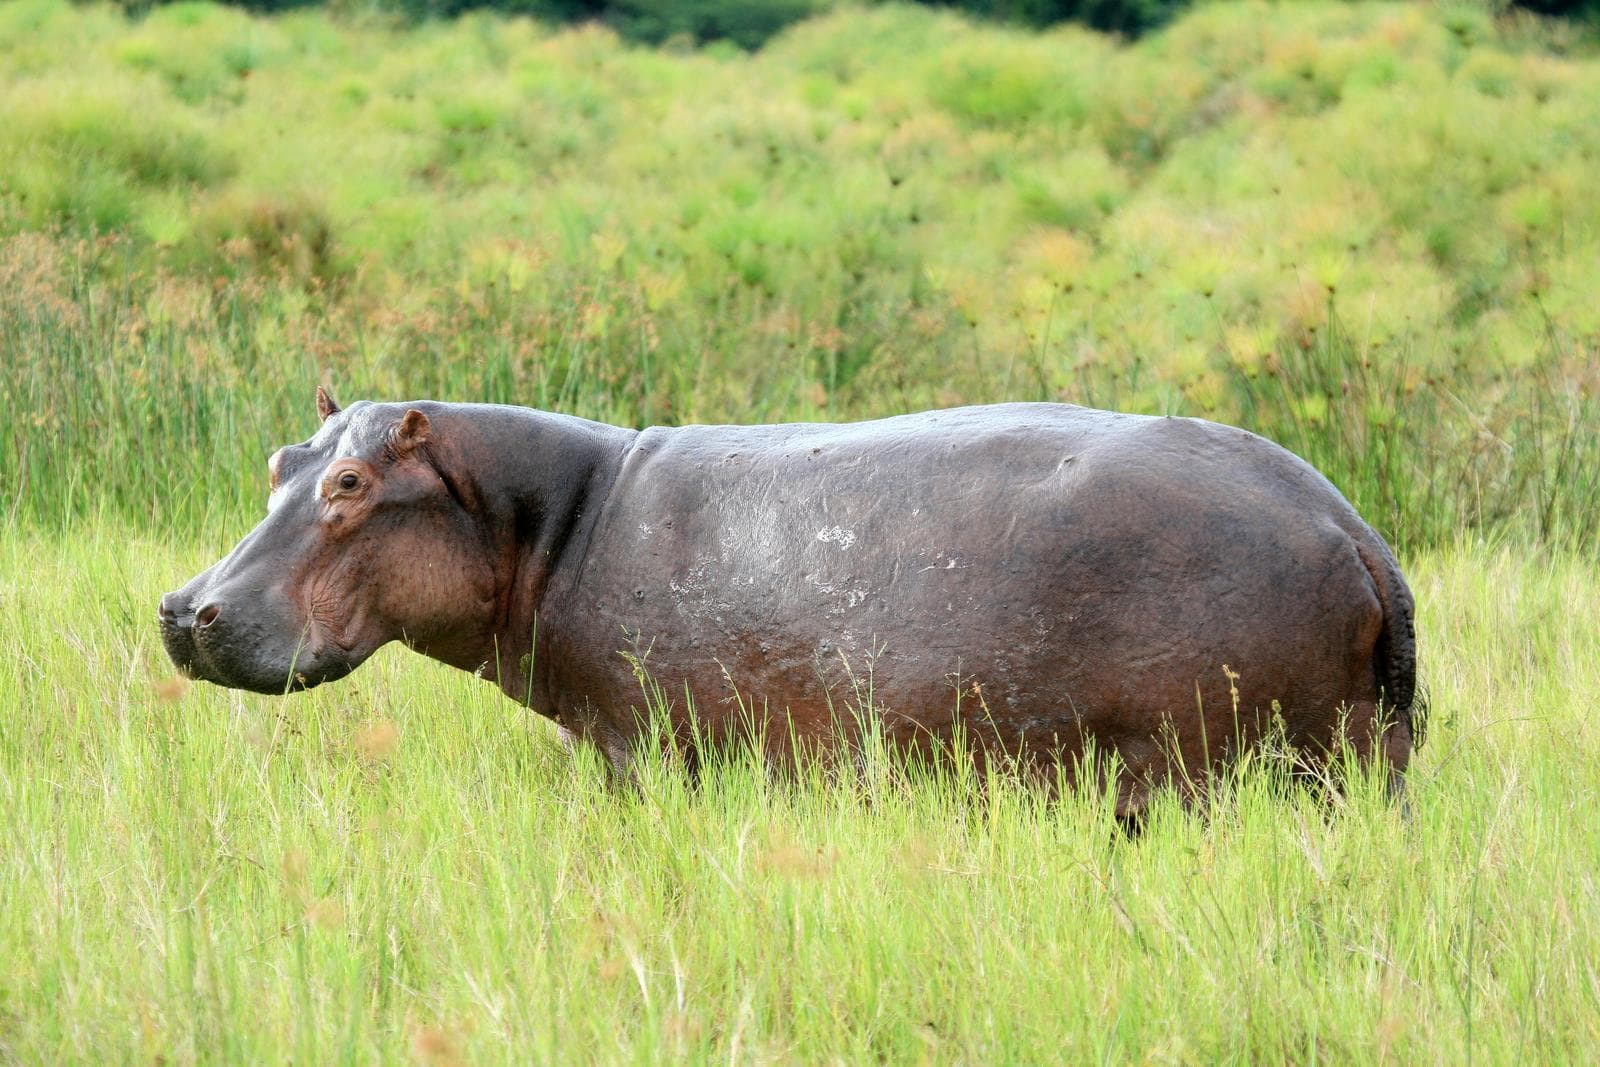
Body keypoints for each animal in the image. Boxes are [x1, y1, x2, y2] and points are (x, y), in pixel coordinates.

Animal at [160, 391, 1422, 812]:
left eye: (351, 485)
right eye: (281, 458)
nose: (183, 606)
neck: (544, 519)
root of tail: (1355, 532)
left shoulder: (642, 748)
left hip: (1226, 769)